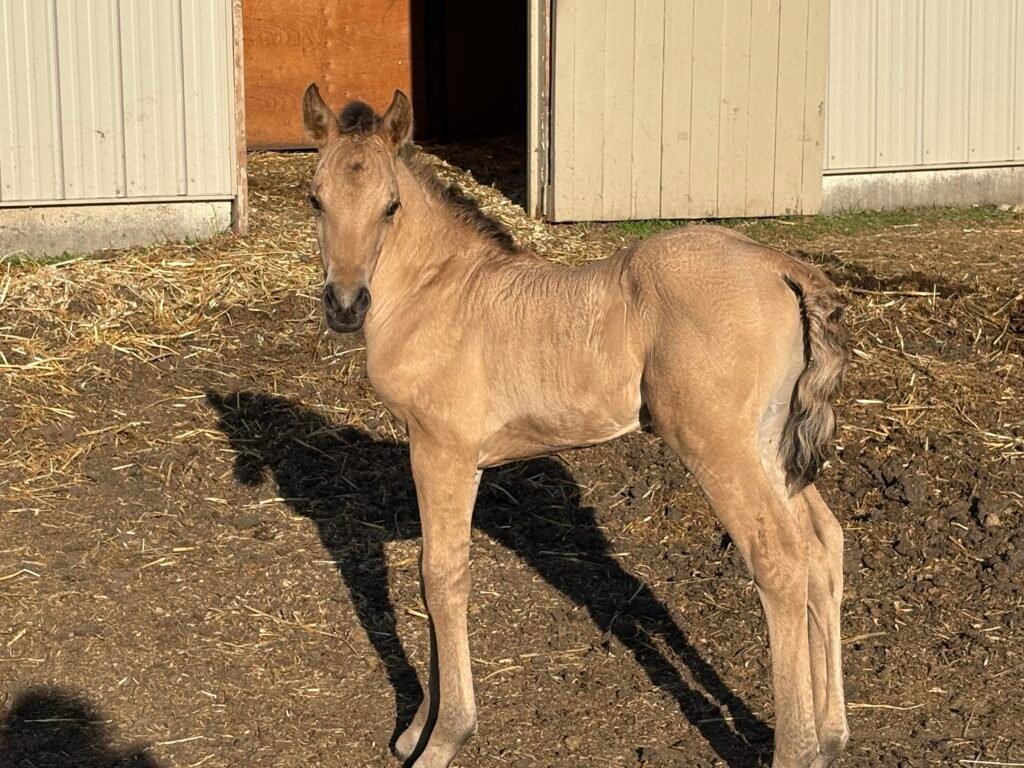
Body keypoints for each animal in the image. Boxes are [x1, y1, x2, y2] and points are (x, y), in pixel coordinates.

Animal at [299, 84, 851, 768]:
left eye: (390, 206)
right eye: (316, 198)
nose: (346, 305)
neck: (438, 290)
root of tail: (778, 263)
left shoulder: (442, 451)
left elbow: (441, 577)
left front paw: (445, 736)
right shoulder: (441, 458)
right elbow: (433, 574)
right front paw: (416, 728)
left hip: (719, 444)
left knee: (779, 558)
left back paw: (797, 747)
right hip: (771, 441)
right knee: (823, 545)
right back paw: (831, 736)